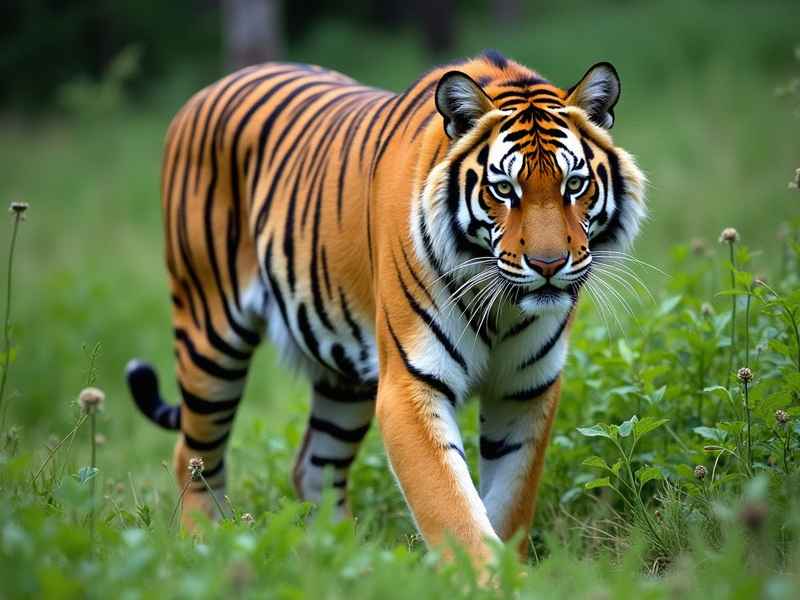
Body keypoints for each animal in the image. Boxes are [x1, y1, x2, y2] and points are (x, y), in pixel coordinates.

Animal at [126, 49, 645, 566]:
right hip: (209, 334)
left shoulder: (525, 390)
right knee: (195, 457)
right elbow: (454, 510)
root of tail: (208, 90)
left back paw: (343, 559)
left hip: (343, 370)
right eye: (503, 190)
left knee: (314, 466)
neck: (502, 305)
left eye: (574, 184)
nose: (548, 264)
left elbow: (509, 504)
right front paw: (487, 577)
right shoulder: (410, 385)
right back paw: (202, 547)